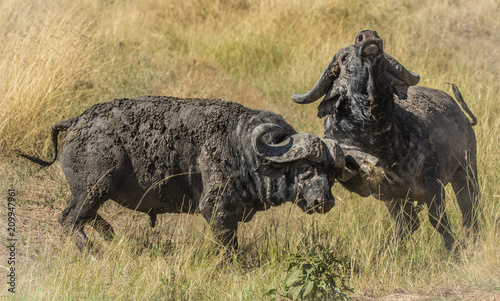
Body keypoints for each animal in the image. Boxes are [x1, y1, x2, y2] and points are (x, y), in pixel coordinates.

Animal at [18, 96, 344, 251]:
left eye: (332, 175)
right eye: (305, 169)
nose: (325, 202)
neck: (244, 149)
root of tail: (77, 121)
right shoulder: (217, 210)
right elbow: (228, 247)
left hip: (93, 193)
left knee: (85, 218)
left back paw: (111, 237)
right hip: (92, 189)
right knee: (70, 219)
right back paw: (92, 251)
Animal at [292, 29, 480, 251]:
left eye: (384, 59)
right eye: (344, 58)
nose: (367, 36)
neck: (382, 142)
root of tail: (461, 114)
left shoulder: (434, 186)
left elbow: (439, 221)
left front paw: (454, 250)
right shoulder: (390, 195)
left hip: (466, 171)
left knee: (470, 209)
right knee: (409, 224)